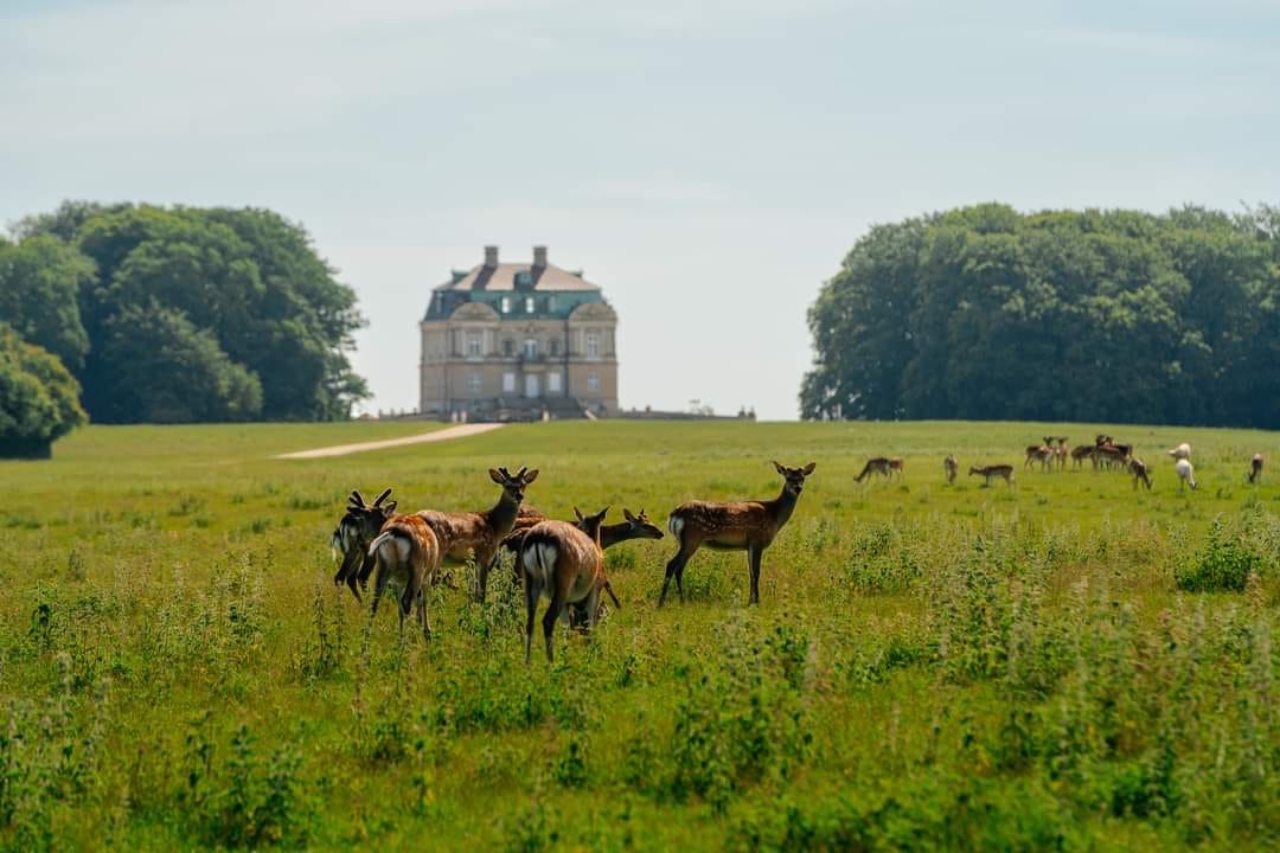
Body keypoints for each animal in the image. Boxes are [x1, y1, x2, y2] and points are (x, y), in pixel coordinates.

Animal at [365, 512, 442, 640]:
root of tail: (393, 533)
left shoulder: (398, 581)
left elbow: (400, 607)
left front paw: (401, 636)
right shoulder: (427, 576)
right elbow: (423, 600)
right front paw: (427, 632)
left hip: (382, 566)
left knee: (374, 603)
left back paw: (366, 642)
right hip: (417, 569)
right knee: (407, 601)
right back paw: (412, 638)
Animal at [518, 507, 613, 664]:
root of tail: (540, 536)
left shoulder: (568, 603)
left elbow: (567, 628)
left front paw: (567, 655)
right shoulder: (594, 592)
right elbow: (589, 624)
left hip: (532, 583)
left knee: (530, 622)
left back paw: (528, 663)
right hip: (562, 588)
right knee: (548, 620)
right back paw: (551, 662)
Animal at [660, 461, 815, 607]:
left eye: (803, 477)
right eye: (788, 477)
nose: (798, 488)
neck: (774, 515)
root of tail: (674, 515)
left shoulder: (749, 545)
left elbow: (751, 573)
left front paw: (750, 602)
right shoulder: (757, 540)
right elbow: (756, 572)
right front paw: (757, 602)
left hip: (686, 541)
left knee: (679, 568)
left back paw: (681, 601)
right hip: (691, 538)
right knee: (672, 565)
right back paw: (661, 603)